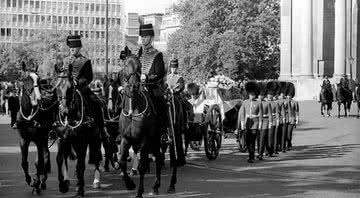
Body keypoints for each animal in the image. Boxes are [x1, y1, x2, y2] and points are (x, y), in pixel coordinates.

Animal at [16, 62, 56, 194]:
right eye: (26, 79)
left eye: (38, 80)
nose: (38, 99)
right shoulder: (23, 140)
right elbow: (24, 162)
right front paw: (29, 180)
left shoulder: (39, 139)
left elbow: (39, 162)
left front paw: (36, 183)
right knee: (45, 154)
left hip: (44, 137)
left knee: (45, 156)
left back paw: (42, 181)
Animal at [54, 67, 103, 196]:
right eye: (57, 87)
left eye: (71, 87)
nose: (64, 111)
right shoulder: (62, 139)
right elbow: (59, 159)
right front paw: (62, 185)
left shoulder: (81, 142)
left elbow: (81, 164)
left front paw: (80, 188)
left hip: (96, 139)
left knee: (96, 156)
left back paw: (96, 180)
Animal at [119, 54, 184, 198]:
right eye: (125, 65)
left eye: (138, 67)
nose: (133, 86)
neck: (133, 110)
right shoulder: (126, 139)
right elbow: (121, 162)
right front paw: (130, 184)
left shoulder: (145, 140)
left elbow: (142, 167)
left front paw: (139, 192)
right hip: (156, 140)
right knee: (159, 158)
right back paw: (155, 187)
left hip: (173, 137)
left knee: (175, 159)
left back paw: (171, 185)